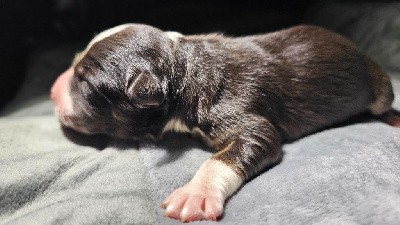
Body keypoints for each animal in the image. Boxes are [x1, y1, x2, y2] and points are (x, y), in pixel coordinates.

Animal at [51, 24, 398, 221]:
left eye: (85, 82)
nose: (52, 91)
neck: (185, 66)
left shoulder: (242, 114)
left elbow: (235, 150)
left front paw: (195, 194)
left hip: (379, 84)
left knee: (383, 102)